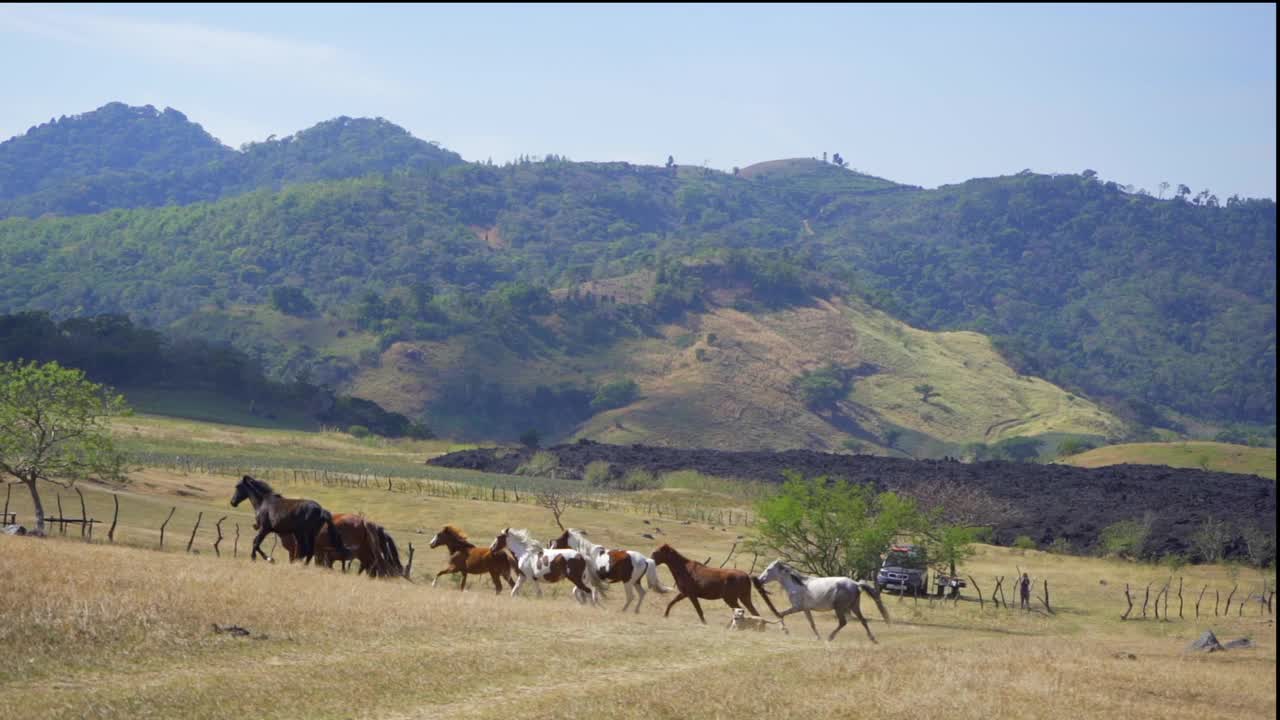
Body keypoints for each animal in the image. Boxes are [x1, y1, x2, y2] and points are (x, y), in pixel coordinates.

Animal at [650, 540, 778, 620]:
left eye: (656, 552)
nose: (650, 561)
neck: (683, 569)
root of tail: (746, 575)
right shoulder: (684, 593)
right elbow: (671, 603)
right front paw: (665, 615)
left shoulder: (691, 595)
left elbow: (699, 611)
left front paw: (704, 623)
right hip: (744, 597)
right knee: (754, 612)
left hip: (730, 599)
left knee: (742, 611)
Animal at [747, 558, 890, 640]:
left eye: (769, 569)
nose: (759, 580)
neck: (795, 585)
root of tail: (855, 584)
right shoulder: (806, 609)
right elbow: (812, 623)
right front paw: (817, 637)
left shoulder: (797, 607)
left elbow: (781, 614)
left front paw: (785, 630)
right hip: (854, 606)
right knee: (863, 621)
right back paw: (872, 639)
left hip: (840, 608)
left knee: (843, 622)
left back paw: (830, 637)